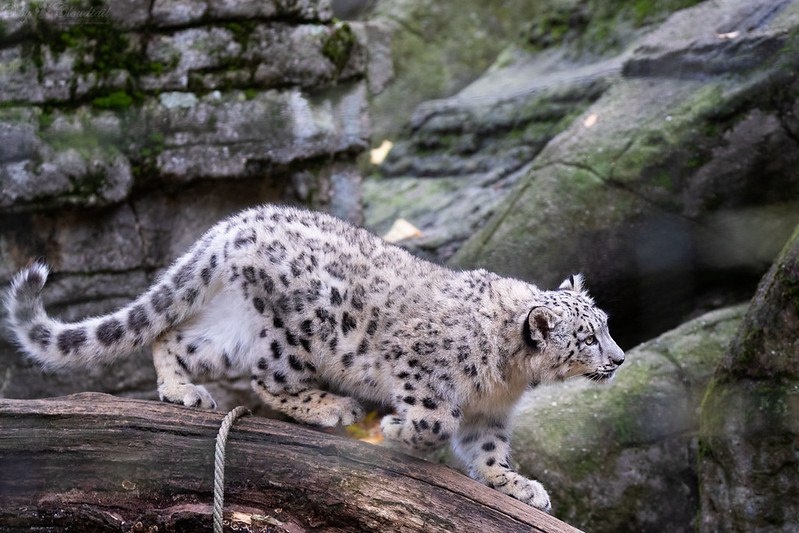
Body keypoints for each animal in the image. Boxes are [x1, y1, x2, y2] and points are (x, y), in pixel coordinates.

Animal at [4, 203, 624, 512]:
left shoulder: (489, 413)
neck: (510, 380)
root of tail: (236, 224)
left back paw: (182, 390)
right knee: (266, 378)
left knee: (172, 338)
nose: (618, 359)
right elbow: (433, 421)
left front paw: (517, 486)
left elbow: (489, 451)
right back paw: (332, 408)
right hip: (295, 333)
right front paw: (395, 431)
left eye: (607, 326)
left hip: (230, 328)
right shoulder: (424, 374)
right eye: (588, 337)